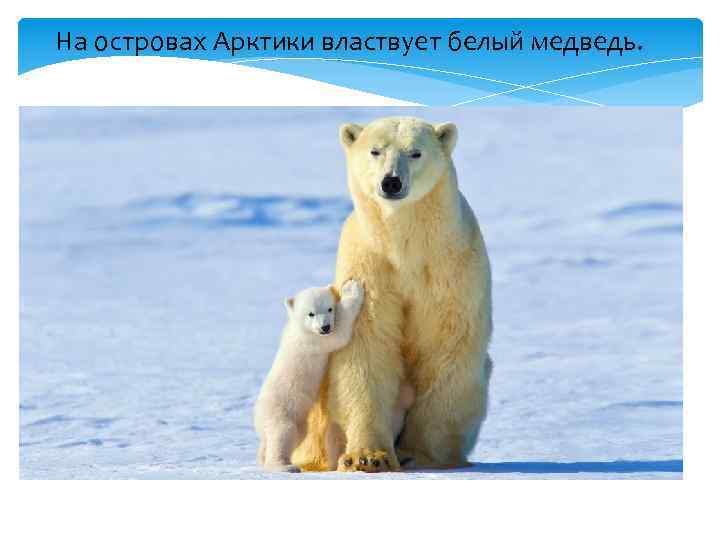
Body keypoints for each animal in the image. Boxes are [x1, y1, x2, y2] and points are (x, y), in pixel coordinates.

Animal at [254, 280, 364, 472]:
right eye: (311, 313)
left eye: (329, 308)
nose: (325, 327)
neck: (299, 328)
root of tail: (257, 419)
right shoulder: (313, 341)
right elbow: (339, 333)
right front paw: (351, 289)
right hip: (279, 411)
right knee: (281, 433)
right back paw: (284, 466)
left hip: (298, 421)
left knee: (294, 436)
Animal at [292, 117, 493, 473]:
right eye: (375, 150)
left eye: (415, 152)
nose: (391, 182)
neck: (405, 245)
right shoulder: (370, 266)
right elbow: (367, 347)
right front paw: (368, 457)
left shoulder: (450, 268)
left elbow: (447, 345)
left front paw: (421, 454)